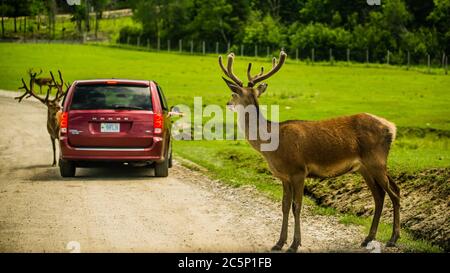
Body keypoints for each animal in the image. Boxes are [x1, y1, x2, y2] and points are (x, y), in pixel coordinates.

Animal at [220, 50, 400, 251]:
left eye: (233, 93)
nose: (227, 103)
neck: (271, 145)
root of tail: (392, 128)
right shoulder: (284, 176)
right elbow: (284, 206)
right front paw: (279, 242)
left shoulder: (299, 170)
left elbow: (297, 206)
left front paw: (294, 244)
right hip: (365, 167)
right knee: (381, 195)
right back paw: (368, 238)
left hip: (376, 161)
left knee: (394, 193)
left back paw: (393, 239)